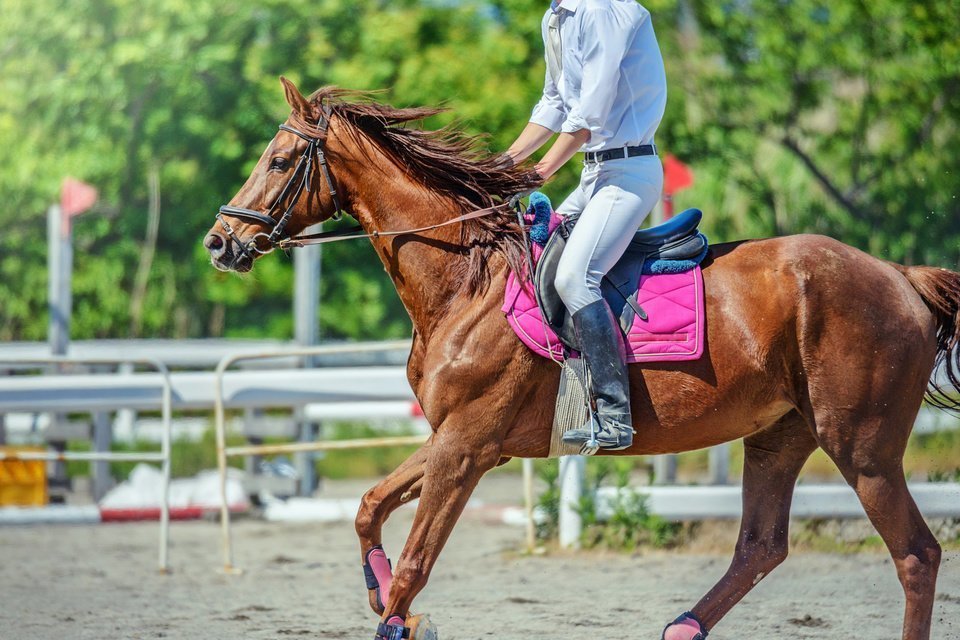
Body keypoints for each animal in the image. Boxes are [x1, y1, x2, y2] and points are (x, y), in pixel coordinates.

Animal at [204, 80, 960, 640]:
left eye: (278, 161)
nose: (219, 242)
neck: (466, 282)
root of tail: (899, 276)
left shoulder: (465, 447)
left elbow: (418, 559)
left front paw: (400, 616)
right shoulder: (458, 440)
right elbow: (368, 507)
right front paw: (392, 604)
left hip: (860, 445)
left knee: (916, 555)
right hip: (780, 433)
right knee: (761, 546)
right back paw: (681, 628)